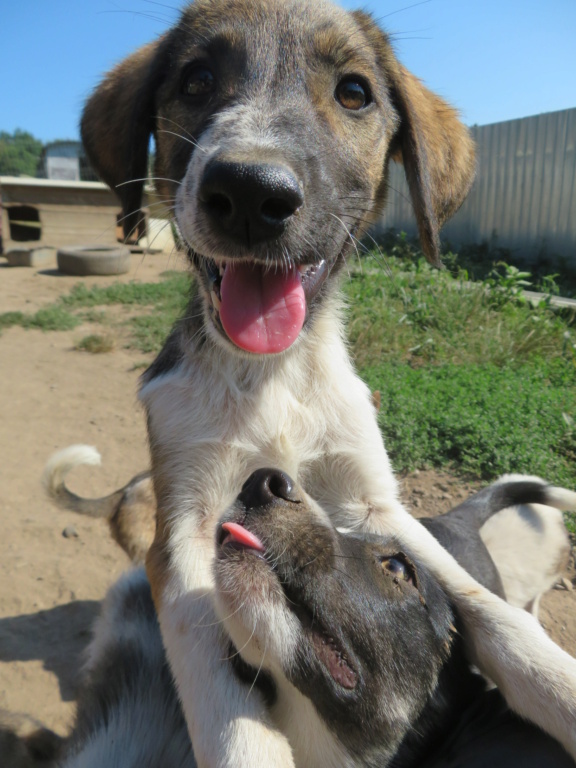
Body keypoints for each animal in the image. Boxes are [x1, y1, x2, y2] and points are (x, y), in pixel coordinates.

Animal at [80, 1, 576, 760]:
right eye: (196, 80)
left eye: (353, 93)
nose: (250, 192)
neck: (272, 374)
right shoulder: (185, 528)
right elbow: (229, 711)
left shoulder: (377, 507)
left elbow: (490, 613)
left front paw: (559, 687)